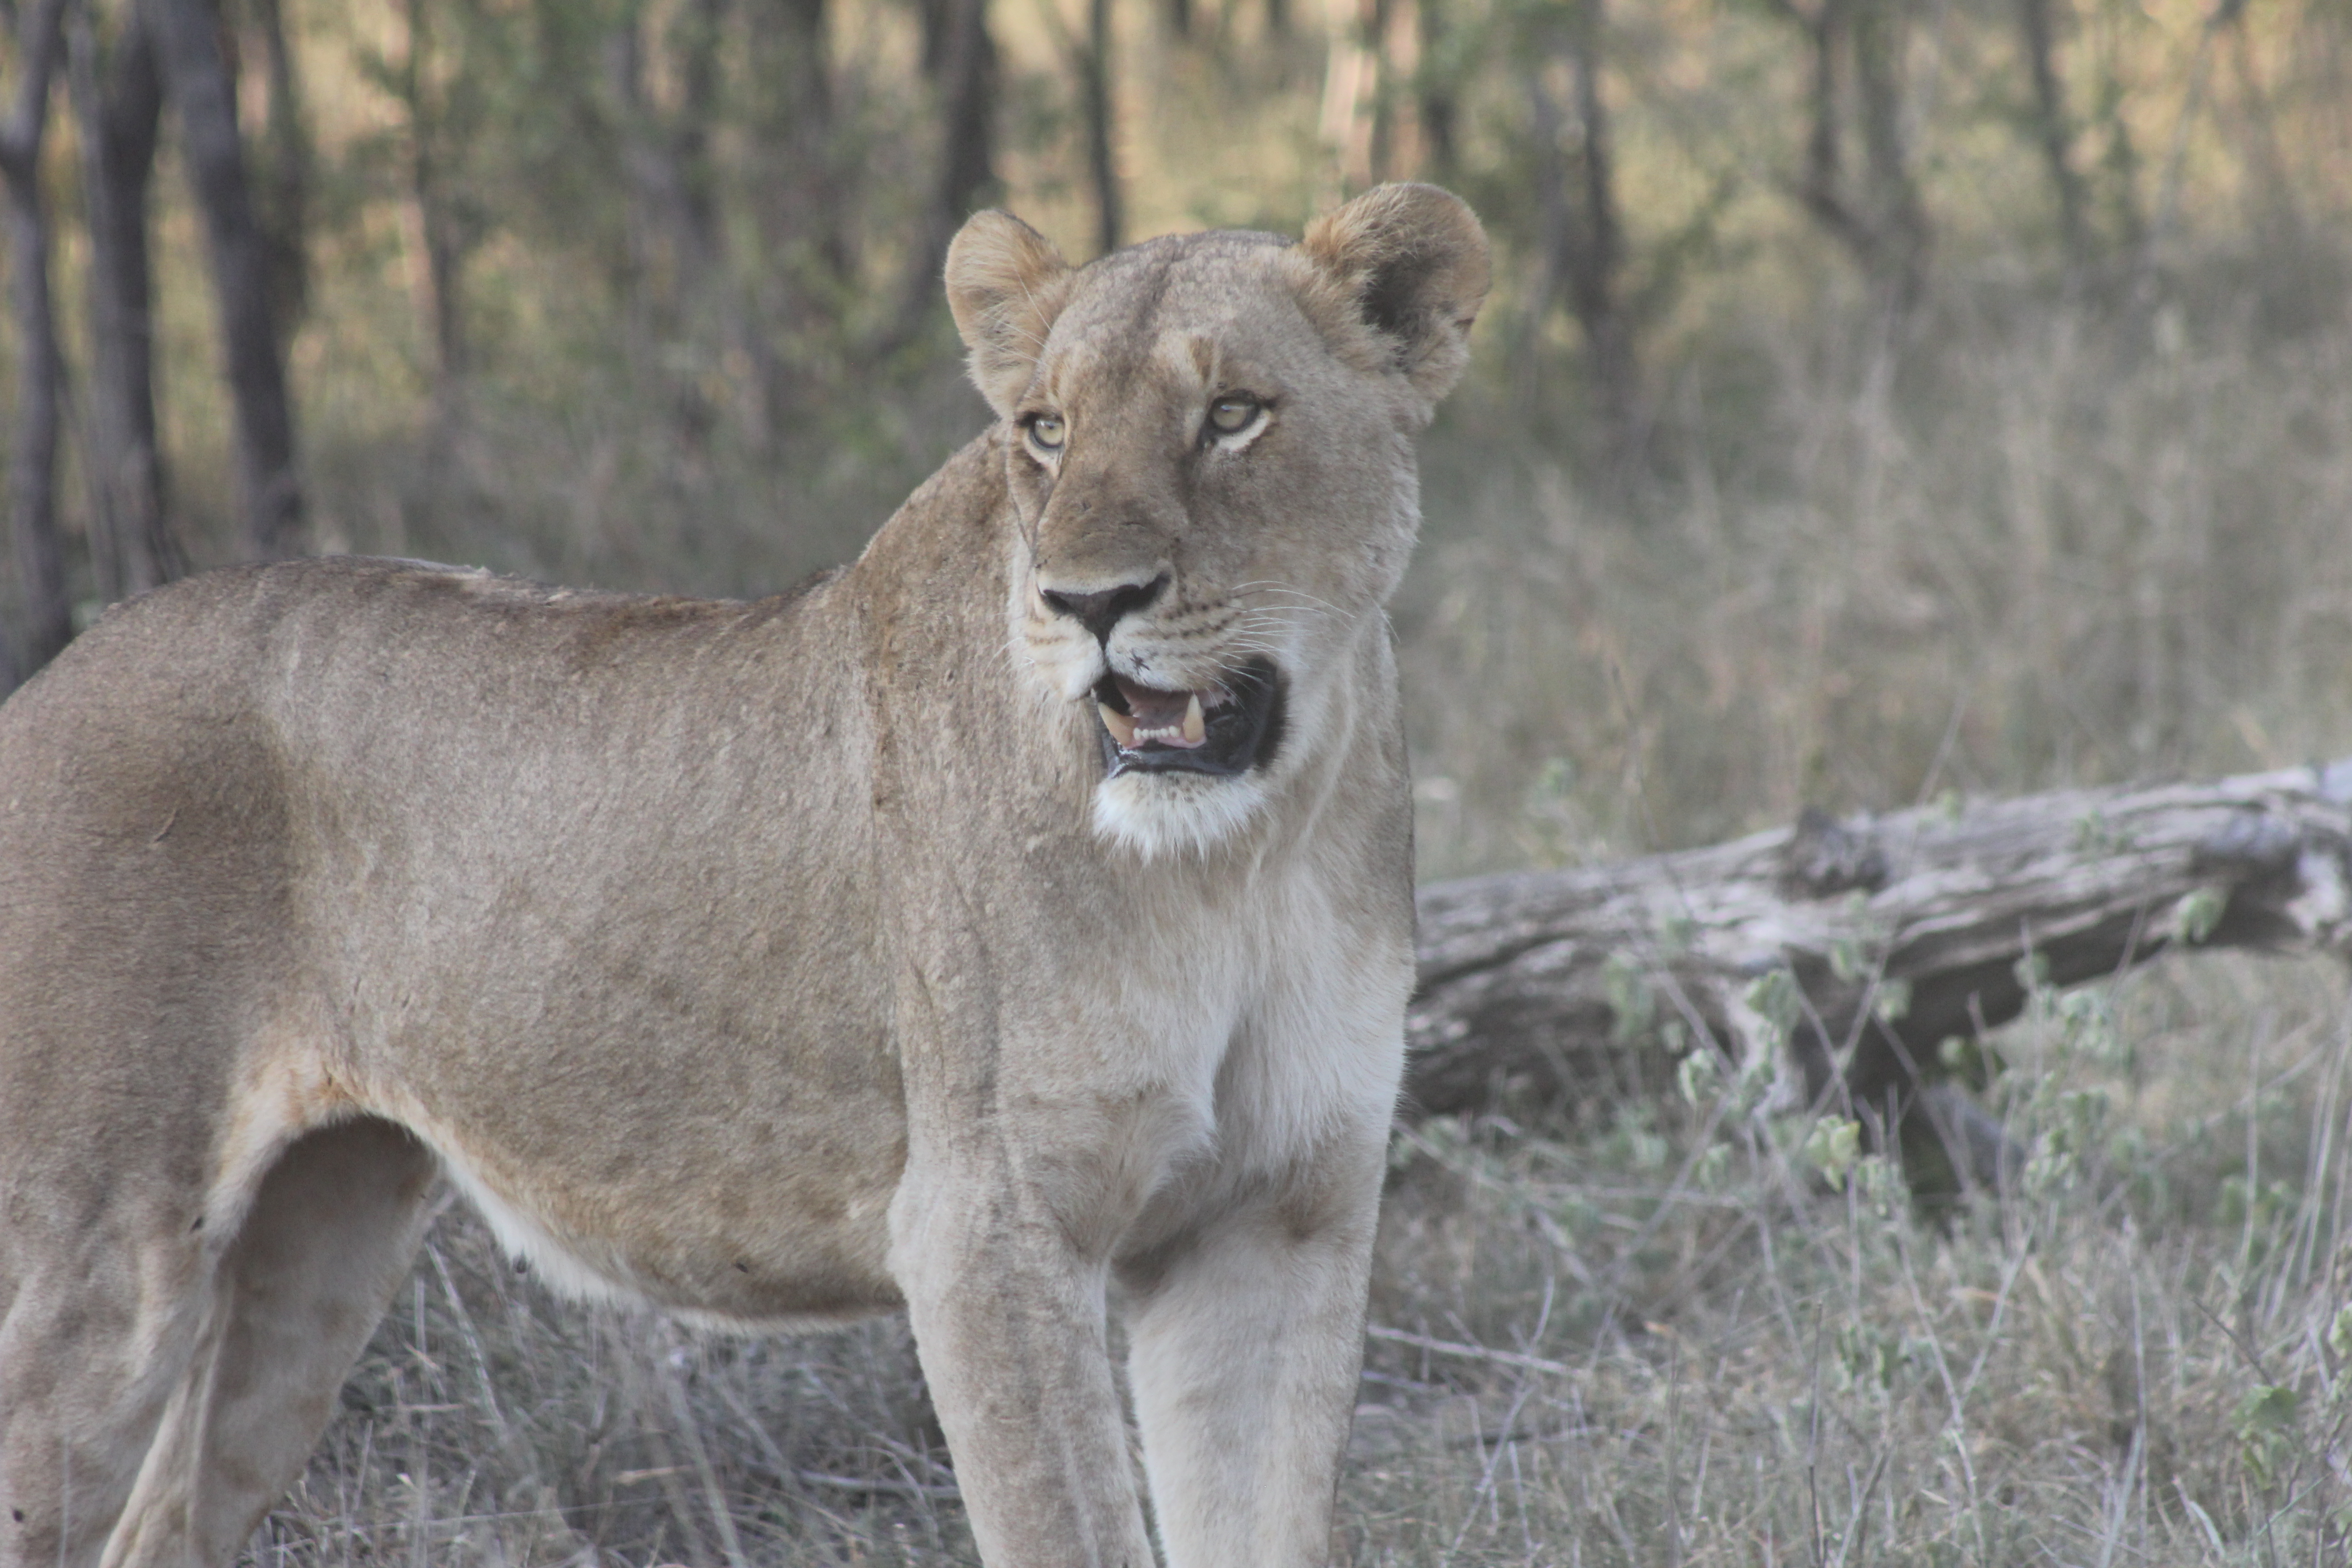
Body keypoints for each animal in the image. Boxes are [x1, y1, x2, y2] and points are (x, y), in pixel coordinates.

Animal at [0, 182, 1487, 1568]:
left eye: (1233, 414)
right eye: (1046, 431)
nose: (1088, 603)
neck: (1244, 856)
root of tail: (50, 680)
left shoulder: (1278, 1216)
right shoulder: (985, 1230)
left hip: (318, 1241)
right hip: (101, 1249)